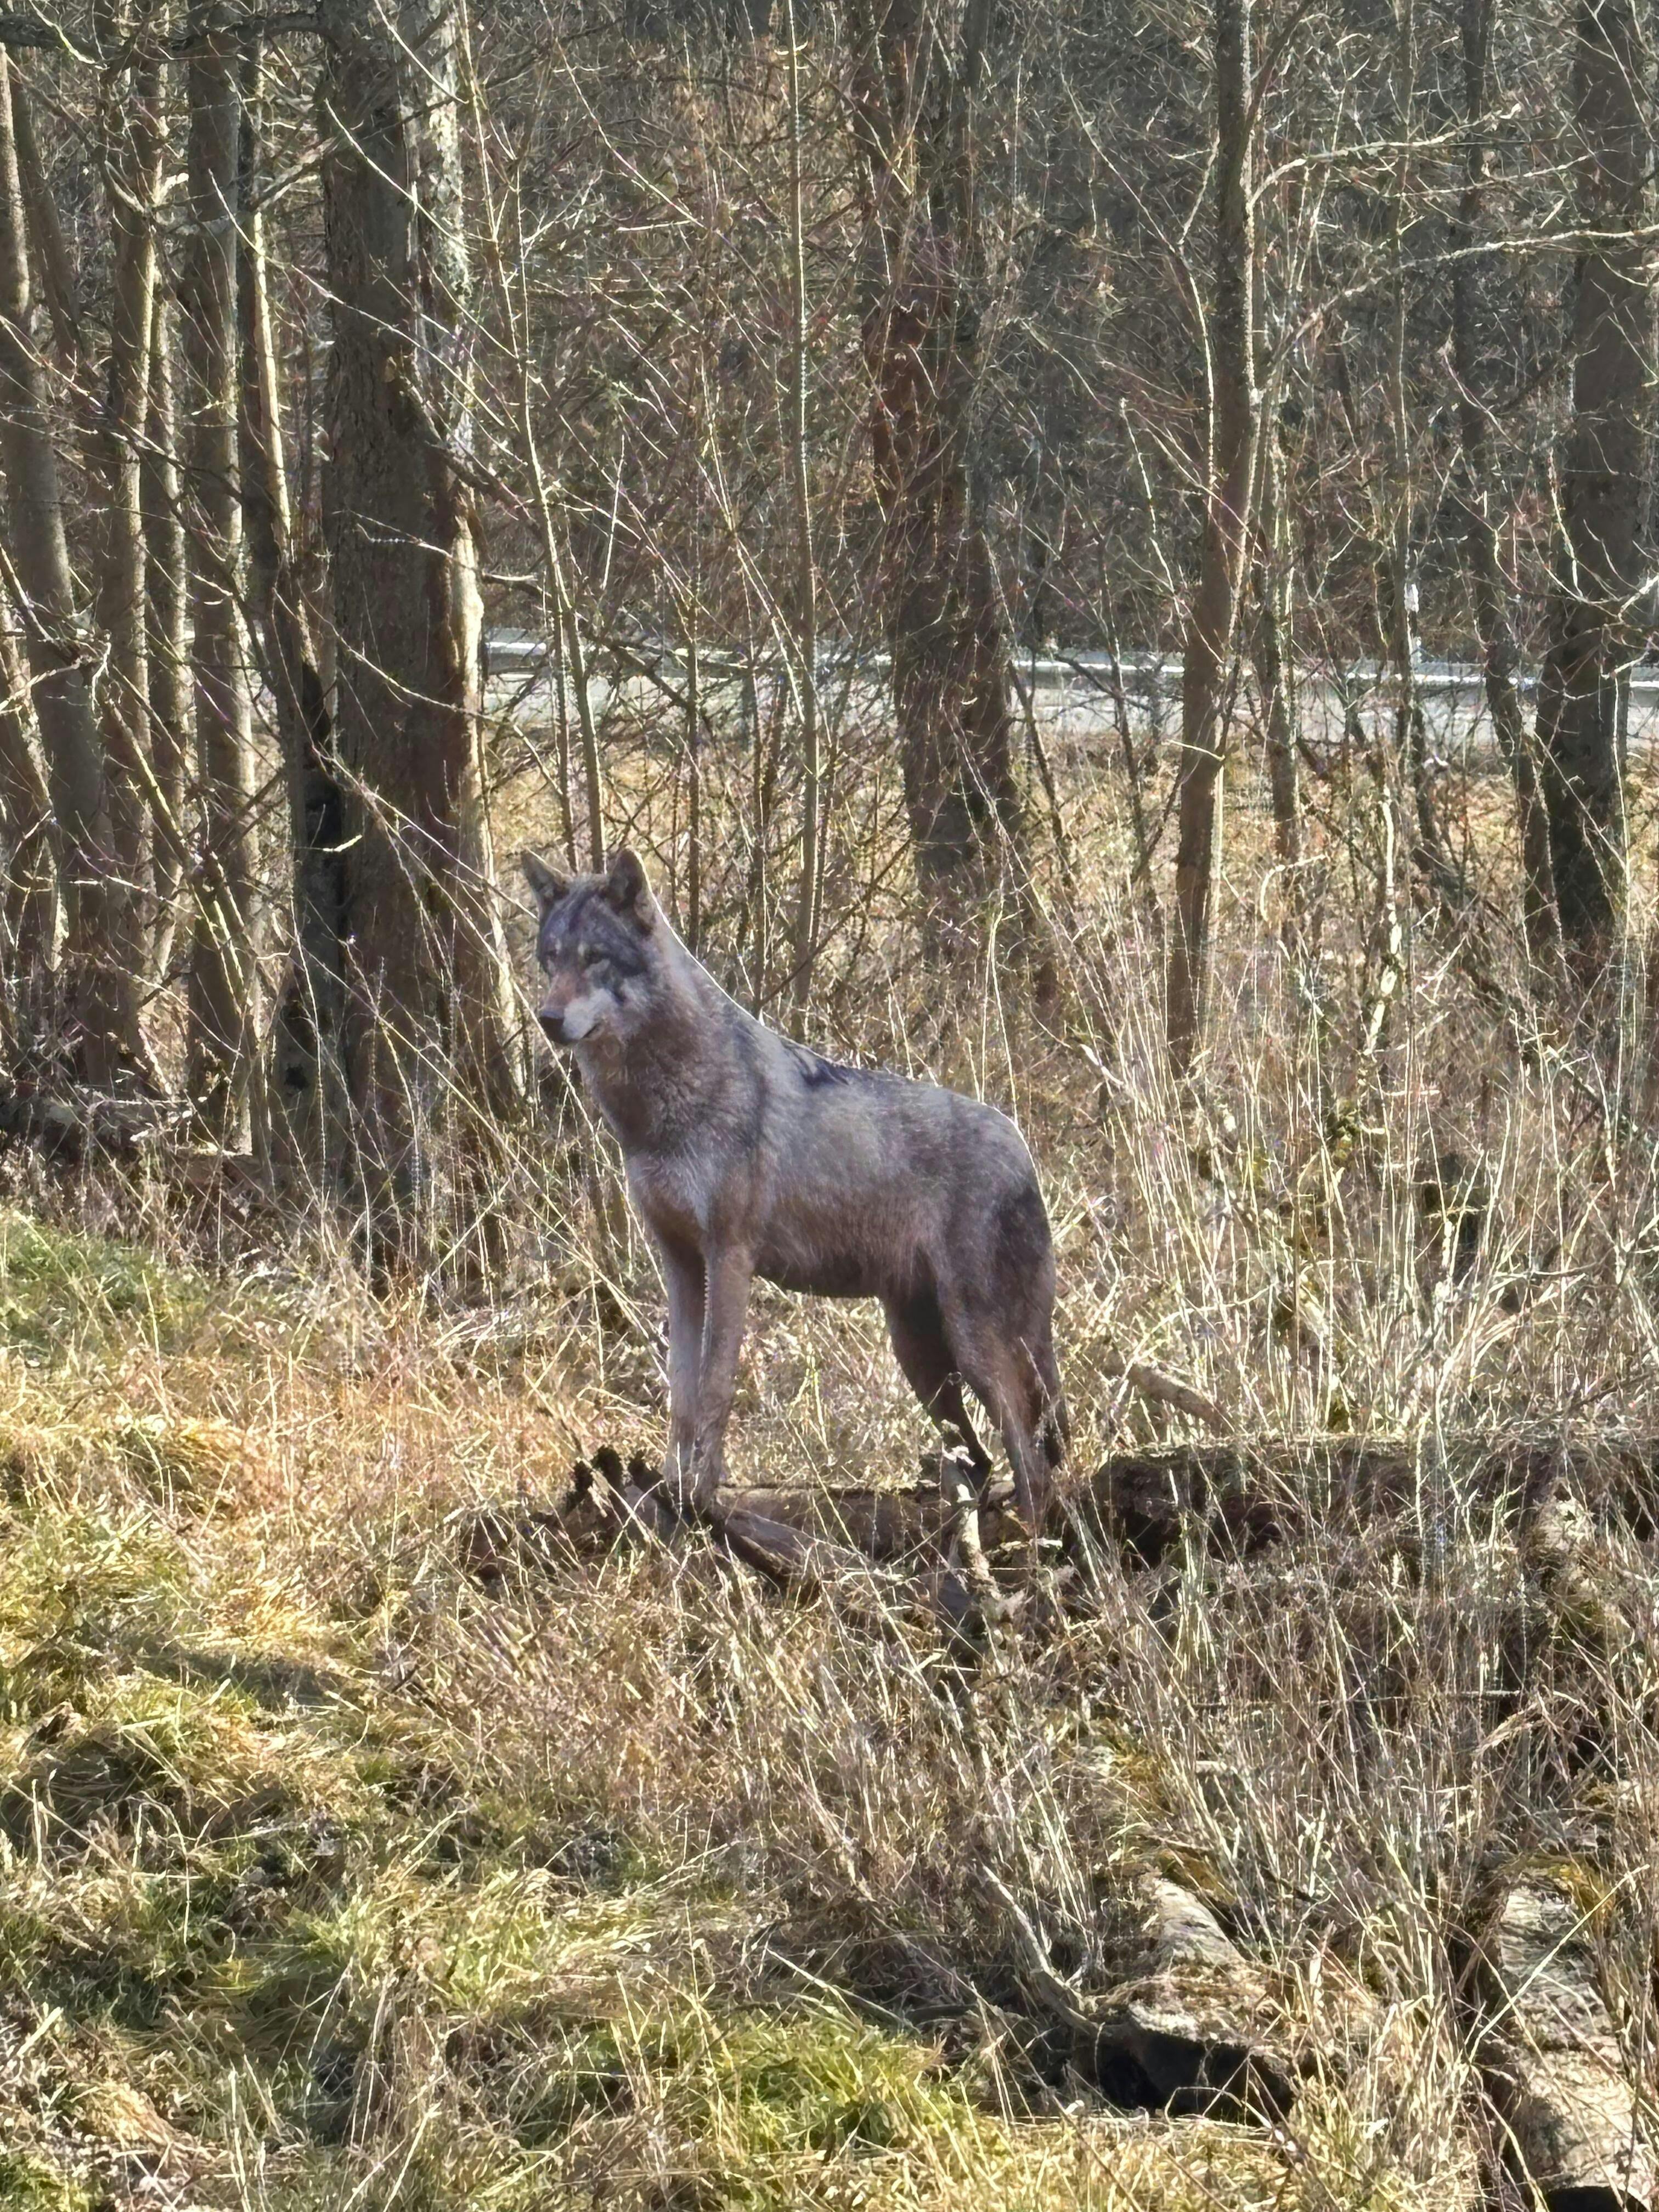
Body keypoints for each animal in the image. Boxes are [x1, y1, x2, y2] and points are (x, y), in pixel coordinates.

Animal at [522, 847, 1068, 1529]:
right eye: (550, 959)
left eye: (595, 957)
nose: (547, 1019)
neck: (658, 1113)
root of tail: (1023, 1150)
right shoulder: (679, 1264)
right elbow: (680, 1392)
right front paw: (671, 1491)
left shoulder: (730, 1258)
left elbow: (716, 1388)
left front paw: (703, 1501)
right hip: (920, 1355)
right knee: (984, 1457)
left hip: (976, 1345)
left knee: (1031, 1456)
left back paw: (1028, 1543)